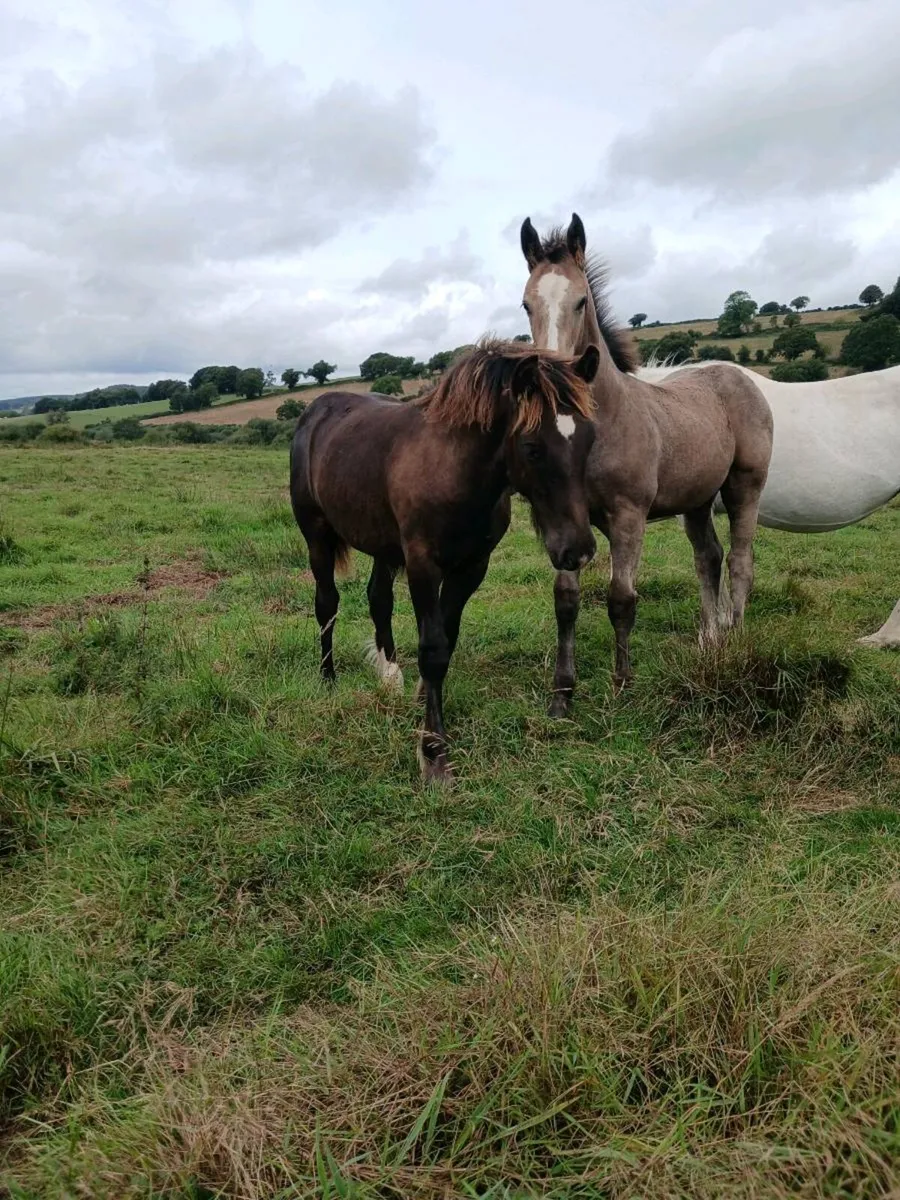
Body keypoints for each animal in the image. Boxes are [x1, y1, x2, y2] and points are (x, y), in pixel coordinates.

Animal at [289, 337, 600, 784]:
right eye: (532, 448)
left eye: (590, 439)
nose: (578, 551)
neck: (456, 469)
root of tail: (315, 410)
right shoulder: (423, 564)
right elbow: (434, 648)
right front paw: (433, 753)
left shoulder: (471, 567)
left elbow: (446, 640)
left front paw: (423, 700)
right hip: (317, 536)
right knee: (327, 603)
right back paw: (328, 679)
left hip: (383, 545)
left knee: (378, 599)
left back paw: (390, 678)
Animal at [520, 213, 774, 713]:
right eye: (526, 305)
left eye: (581, 301)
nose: (552, 378)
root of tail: (736, 375)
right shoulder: (567, 518)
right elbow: (565, 599)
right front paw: (562, 694)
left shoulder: (629, 516)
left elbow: (621, 598)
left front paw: (622, 684)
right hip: (697, 499)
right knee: (708, 557)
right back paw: (710, 640)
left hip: (745, 486)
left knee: (740, 561)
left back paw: (735, 639)